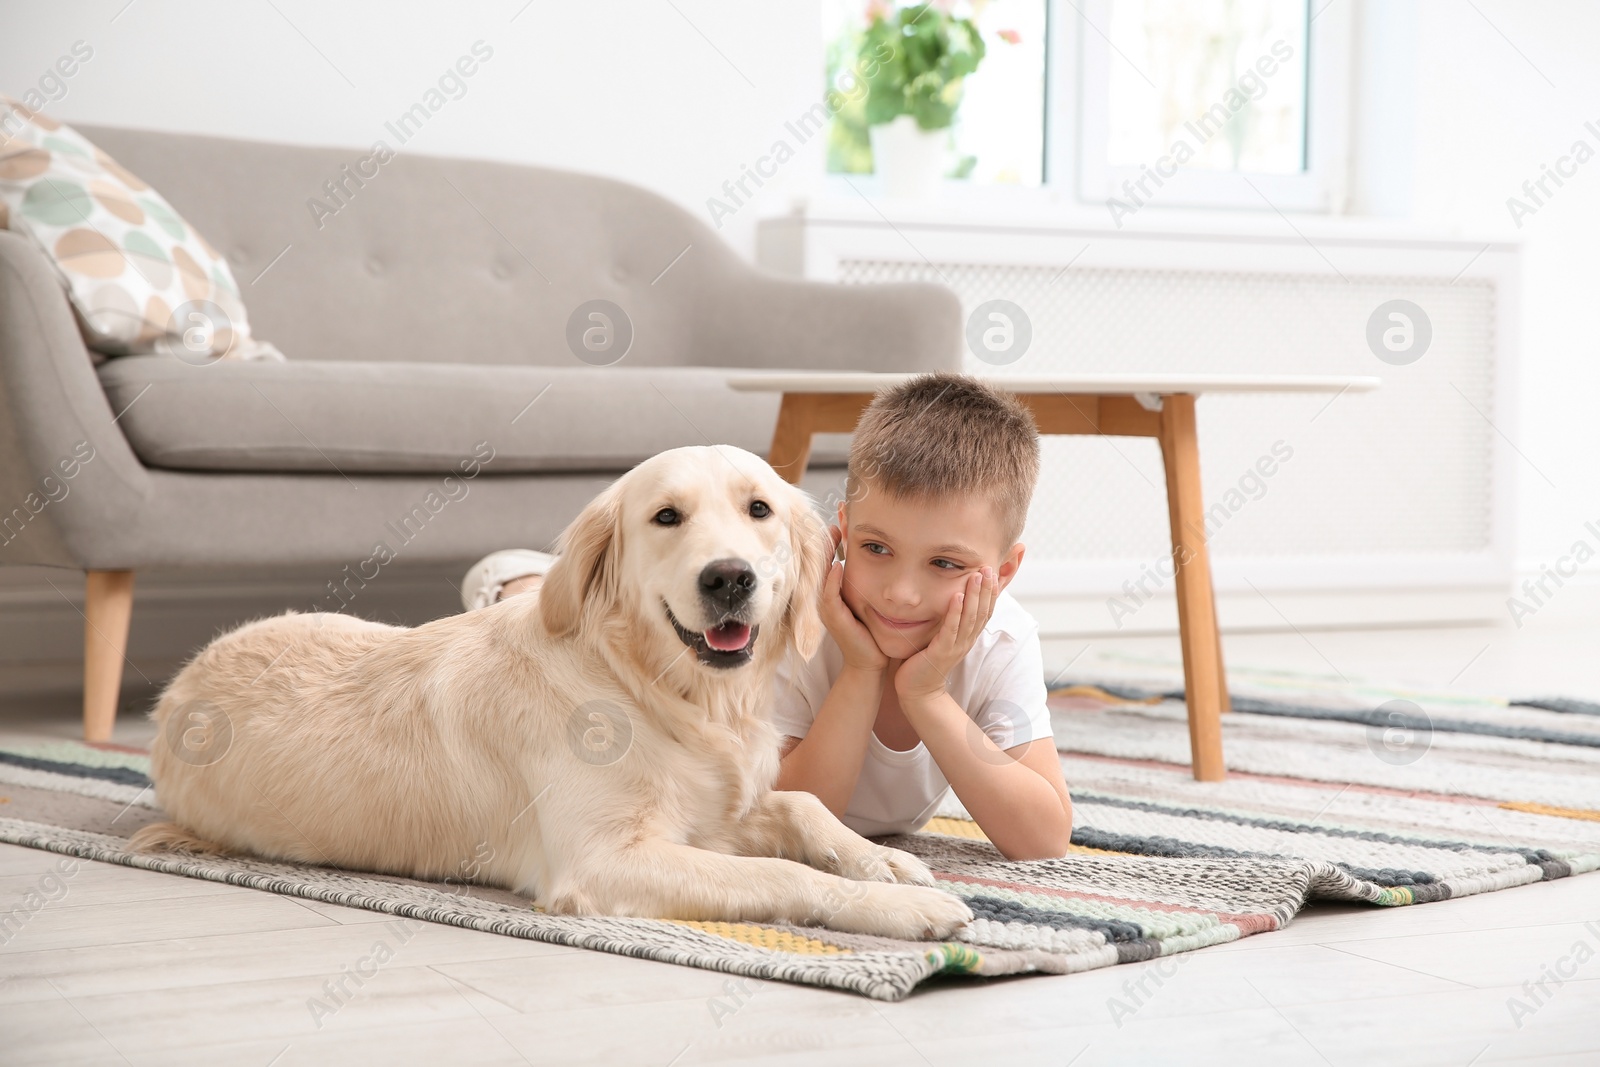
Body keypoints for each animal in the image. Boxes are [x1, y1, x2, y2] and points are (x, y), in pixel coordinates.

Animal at [128, 447, 972, 940]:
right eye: (666, 516)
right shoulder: (604, 860)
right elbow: (780, 874)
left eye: (758, 508)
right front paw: (904, 908)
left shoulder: (715, 813)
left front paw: (885, 863)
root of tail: (176, 690)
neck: (659, 689)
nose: (729, 576)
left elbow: (803, 803)